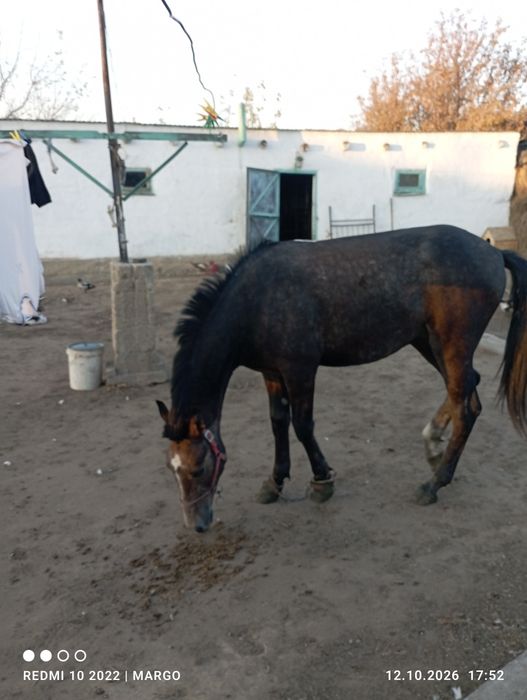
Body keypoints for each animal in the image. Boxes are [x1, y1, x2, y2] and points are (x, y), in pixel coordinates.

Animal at [157, 225, 527, 533]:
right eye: (172, 470)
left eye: (199, 467)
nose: (198, 524)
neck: (258, 299)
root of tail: (493, 252)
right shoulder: (272, 373)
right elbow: (278, 423)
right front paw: (274, 482)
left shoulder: (300, 369)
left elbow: (302, 426)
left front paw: (322, 482)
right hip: (427, 341)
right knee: (467, 391)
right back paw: (433, 444)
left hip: (450, 344)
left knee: (465, 405)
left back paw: (433, 484)